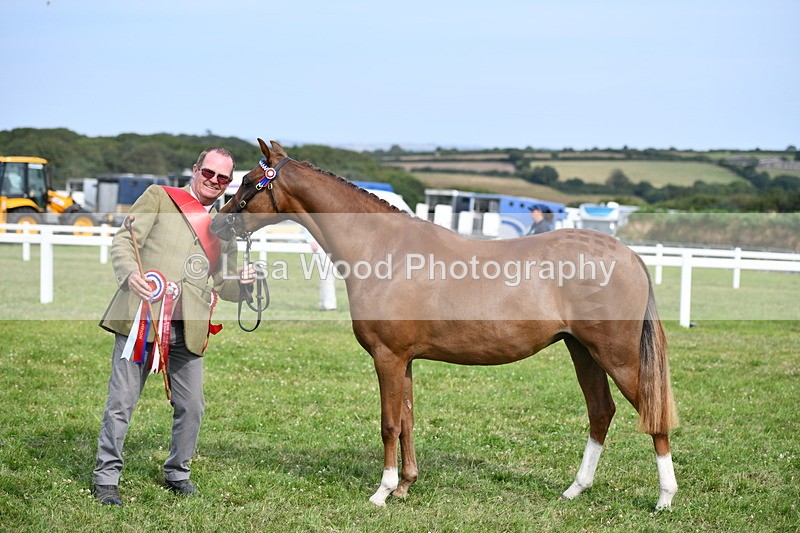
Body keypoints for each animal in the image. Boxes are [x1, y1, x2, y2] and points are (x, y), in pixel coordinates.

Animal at [210, 139, 679, 510]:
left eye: (250, 181)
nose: (217, 222)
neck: (383, 249)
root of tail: (629, 254)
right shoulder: (405, 360)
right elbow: (407, 420)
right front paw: (405, 486)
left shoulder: (387, 357)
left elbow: (389, 423)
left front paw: (382, 492)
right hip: (582, 350)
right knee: (601, 411)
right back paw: (575, 489)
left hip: (617, 356)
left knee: (650, 414)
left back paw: (664, 498)